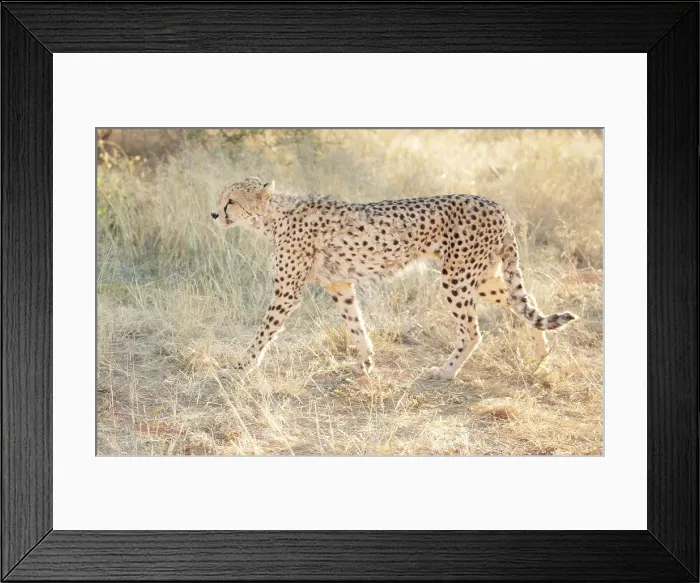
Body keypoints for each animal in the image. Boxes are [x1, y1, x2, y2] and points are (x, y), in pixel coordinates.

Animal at [210, 177, 577, 381]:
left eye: (231, 201)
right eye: (221, 198)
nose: (214, 214)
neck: (272, 217)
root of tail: (495, 204)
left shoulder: (287, 292)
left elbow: (262, 334)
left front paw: (241, 367)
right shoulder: (340, 285)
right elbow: (355, 325)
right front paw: (365, 362)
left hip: (457, 278)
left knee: (473, 331)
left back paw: (446, 372)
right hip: (482, 277)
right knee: (524, 302)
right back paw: (541, 354)